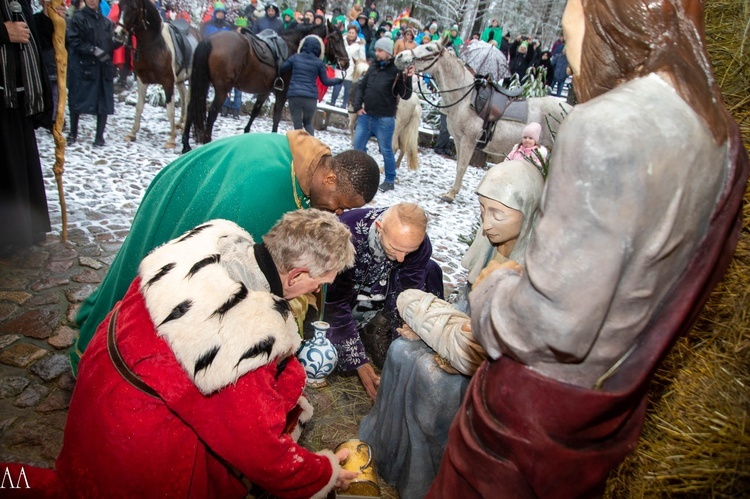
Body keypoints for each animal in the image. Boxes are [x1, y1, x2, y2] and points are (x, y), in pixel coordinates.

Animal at [182, 21, 350, 153]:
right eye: (336, 39)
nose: (346, 63)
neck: (293, 47)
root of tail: (209, 41)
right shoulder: (282, 93)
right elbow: (276, 117)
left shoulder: (265, 91)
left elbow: (255, 111)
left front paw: (246, 132)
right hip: (222, 88)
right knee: (212, 112)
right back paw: (206, 141)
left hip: (202, 84)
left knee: (191, 108)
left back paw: (186, 144)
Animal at [396, 34, 572, 203]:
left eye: (429, 48)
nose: (400, 56)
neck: (465, 99)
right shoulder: (458, 140)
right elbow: (459, 165)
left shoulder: (468, 141)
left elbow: (462, 166)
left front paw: (451, 194)